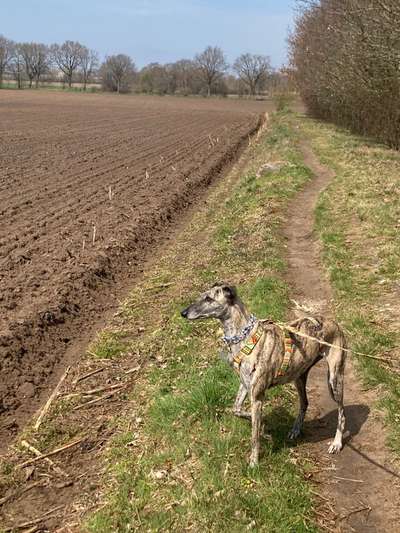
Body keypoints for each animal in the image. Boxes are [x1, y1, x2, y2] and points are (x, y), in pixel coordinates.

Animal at [181, 282, 346, 466]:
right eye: (201, 296)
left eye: (209, 298)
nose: (183, 313)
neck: (244, 337)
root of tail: (334, 323)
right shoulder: (246, 385)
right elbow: (237, 410)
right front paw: (261, 424)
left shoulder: (257, 395)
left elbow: (254, 436)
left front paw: (254, 462)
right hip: (299, 376)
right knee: (304, 403)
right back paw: (295, 430)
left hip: (334, 379)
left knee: (341, 413)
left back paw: (336, 443)